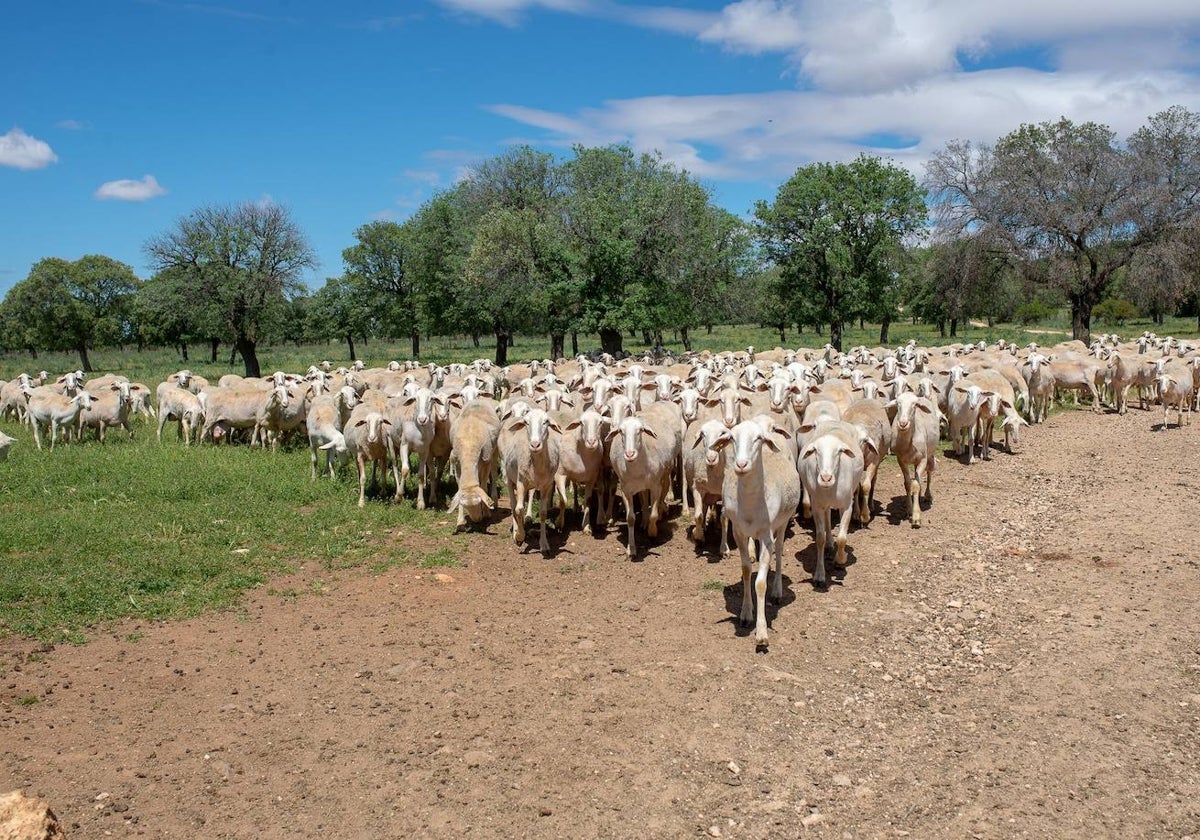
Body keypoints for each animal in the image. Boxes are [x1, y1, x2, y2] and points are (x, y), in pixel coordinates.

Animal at [501, 408, 566, 554]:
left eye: (546, 422)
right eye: (526, 422)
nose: (535, 445)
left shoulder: (546, 485)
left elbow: (543, 513)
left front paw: (544, 544)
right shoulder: (520, 482)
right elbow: (519, 509)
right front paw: (519, 536)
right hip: (509, 478)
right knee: (513, 505)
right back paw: (516, 531)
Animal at [710, 417, 796, 648]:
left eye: (757, 438)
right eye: (731, 437)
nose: (741, 465)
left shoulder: (766, 536)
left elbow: (760, 583)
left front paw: (762, 633)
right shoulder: (739, 532)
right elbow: (747, 571)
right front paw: (746, 614)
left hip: (783, 522)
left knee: (779, 550)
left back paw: (777, 591)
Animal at [801, 422, 868, 588]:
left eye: (839, 452)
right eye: (815, 451)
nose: (826, 478)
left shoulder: (846, 506)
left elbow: (842, 538)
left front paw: (840, 559)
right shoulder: (816, 506)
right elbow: (819, 538)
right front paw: (819, 575)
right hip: (823, 503)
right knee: (827, 518)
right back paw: (829, 543)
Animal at [892, 391, 936, 525]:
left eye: (915, 405)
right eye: (898, 403)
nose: (903, 423)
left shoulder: (922, 459)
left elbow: (915, 484)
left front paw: (916, 516)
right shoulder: (901, 460)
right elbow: (908, 484)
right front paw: (909, 510)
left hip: (929, 455)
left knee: (929, 472)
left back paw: (927, 495)